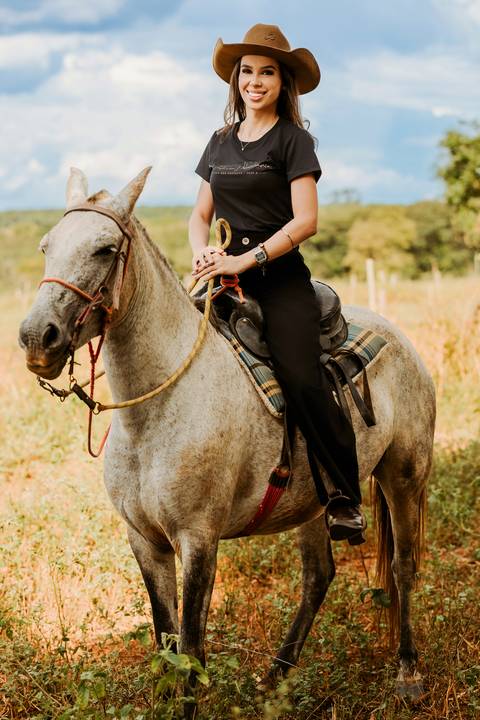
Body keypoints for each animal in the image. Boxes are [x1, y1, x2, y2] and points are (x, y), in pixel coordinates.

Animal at [19, 167, 435, 704]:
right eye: (46, 246)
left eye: (106, 249)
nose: (37, 338)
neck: (155, 412)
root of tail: (399, 337)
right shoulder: (145, 541)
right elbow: (166, 639)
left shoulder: (198, 539)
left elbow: (192, 650)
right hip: (312, 501)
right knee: (318, 575)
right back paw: (276, 677)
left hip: (403, 478)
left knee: (404, 567)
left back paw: (407, 671)